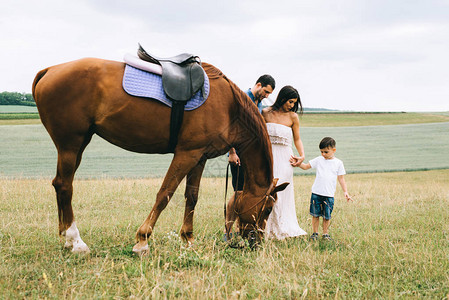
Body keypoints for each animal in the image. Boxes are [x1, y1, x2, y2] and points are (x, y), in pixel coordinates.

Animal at [34, 57, 288, 254]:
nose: (257, 242)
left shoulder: (200, 156)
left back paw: (66, 238)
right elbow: (165, 193)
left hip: (79, 144)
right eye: (268, 209)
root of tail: (49, 70)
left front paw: (188, 239)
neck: (228, 106)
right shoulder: (186, 154)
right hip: (70, 144)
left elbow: (192, 197)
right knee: (65, 185)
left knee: (59, 184)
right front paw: (142, 240)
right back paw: (76, 241)